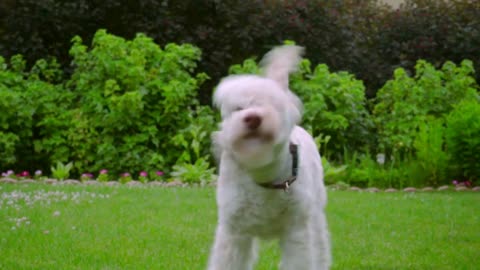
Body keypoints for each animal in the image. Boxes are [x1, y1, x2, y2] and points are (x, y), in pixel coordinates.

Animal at [208, 45, 332, 268]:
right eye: (238, 108)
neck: (264, 175)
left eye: (271, 105)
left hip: (315, 214)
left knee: (320, 246)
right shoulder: (234, 231)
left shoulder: (297, 231)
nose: (253, 118)